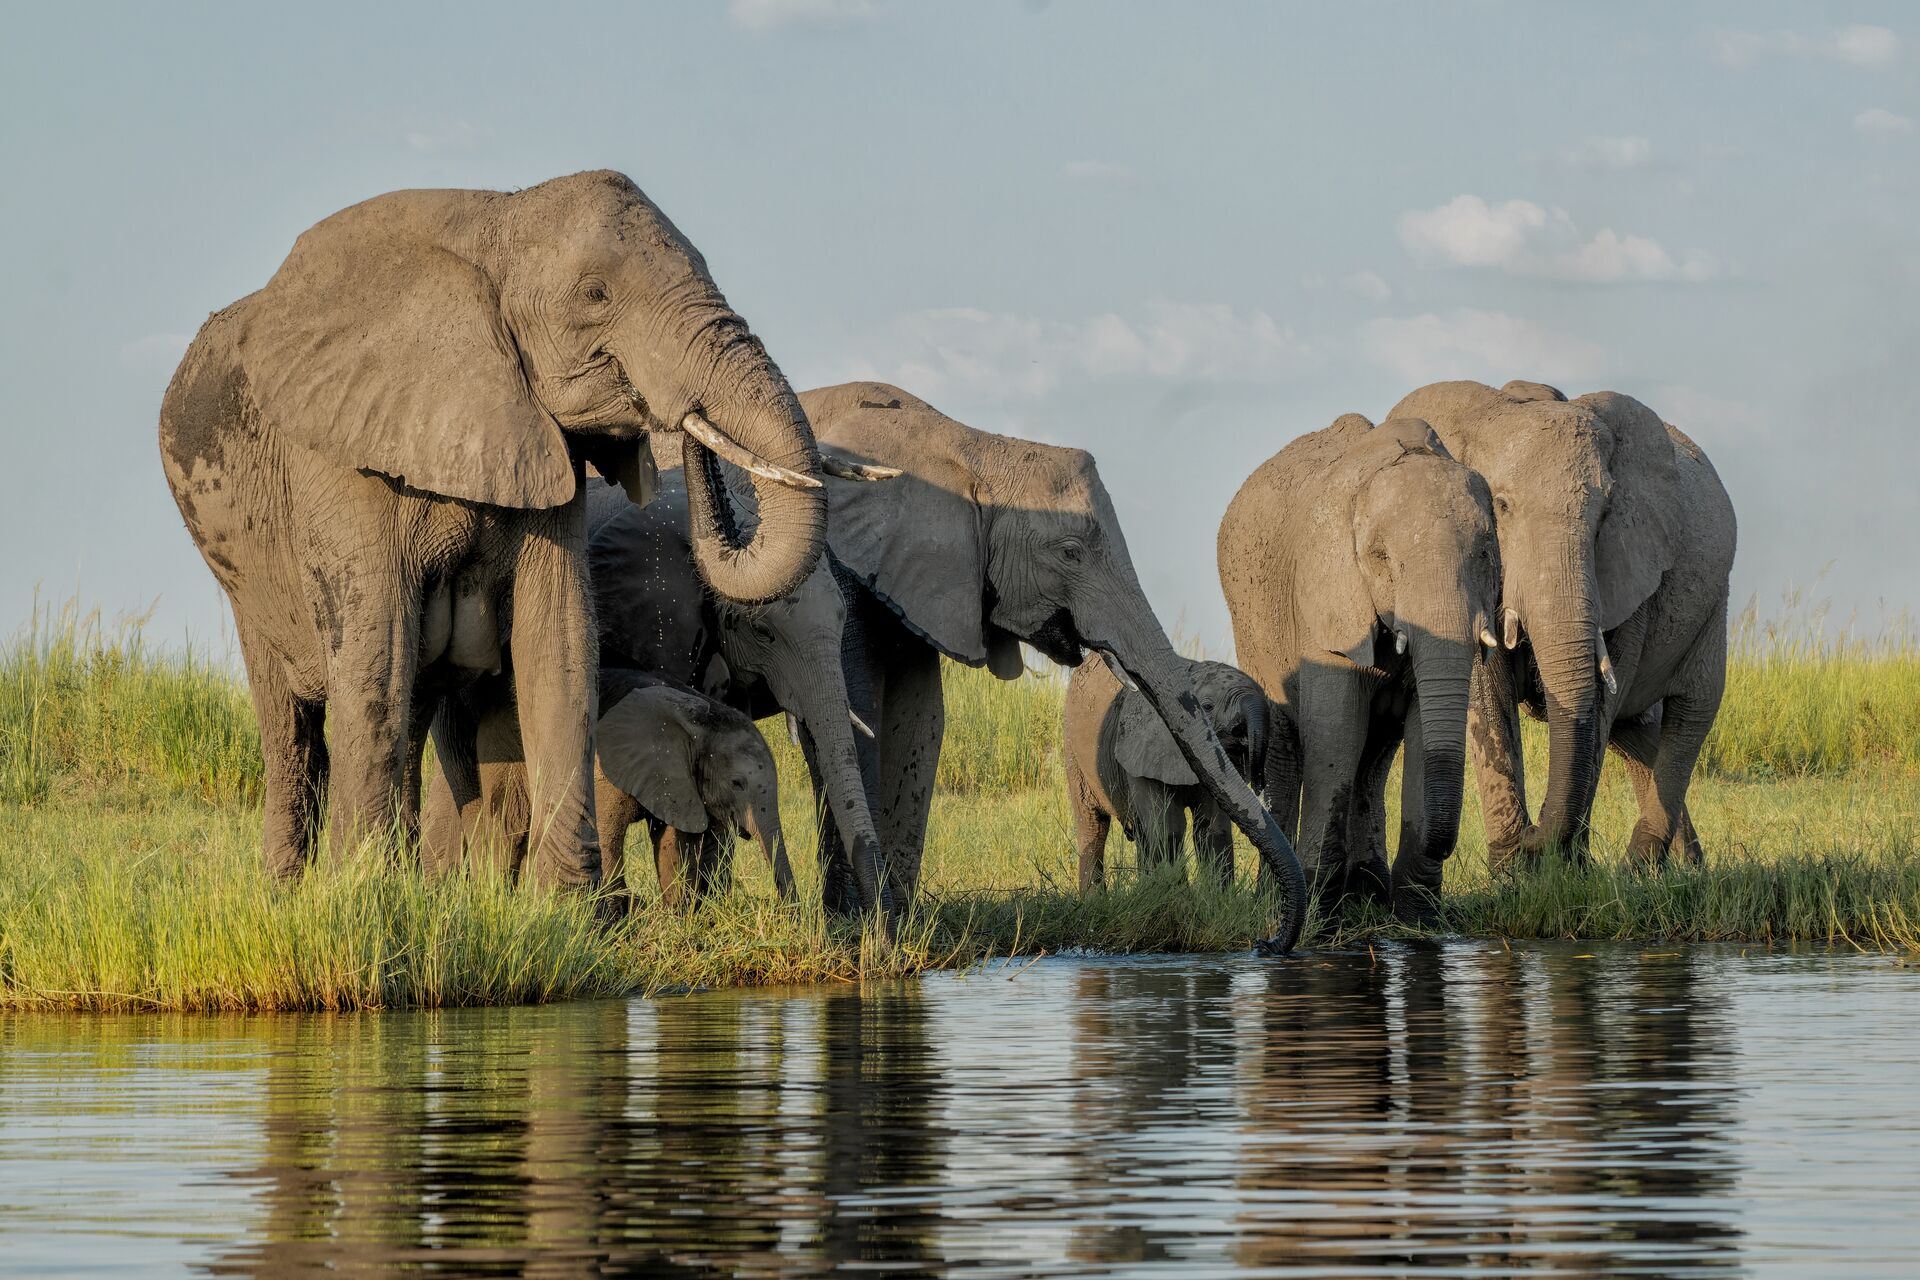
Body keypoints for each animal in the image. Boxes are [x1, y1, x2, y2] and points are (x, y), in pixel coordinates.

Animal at [160, 171, 830, 885]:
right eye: (595, 294)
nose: (680, 417)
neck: (496, 220)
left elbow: (557, 642)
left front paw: (569, 905)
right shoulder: (344, 458)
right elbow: (374, 654)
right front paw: (359, 894)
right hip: (245, 577)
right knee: (293, 725)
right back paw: (293, 890)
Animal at [594, 669, 796, 910]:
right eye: (736, 783)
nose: (786, 909)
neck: (700, 720)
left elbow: (672, 842)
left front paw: (676, 913)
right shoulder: (610, 770)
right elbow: (607, 831)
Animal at [1062, 654, 1272, 892]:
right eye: (1207, 706)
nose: (1259, 785)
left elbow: (1213, 828)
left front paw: (1218, 897)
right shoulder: (1141, 751)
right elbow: (1169, 827)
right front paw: (1178, 895)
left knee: (1141, 833)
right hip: (1073, 752)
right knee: (1093, 826)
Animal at [1218, 414, 1501, 919]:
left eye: (1487, 553)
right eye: (1383, 559)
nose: (1443, 846)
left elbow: (1421, 729)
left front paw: (1417, 916)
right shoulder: (1326, 593)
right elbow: (1336, 731)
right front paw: (1319, 914)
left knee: (1376, 753)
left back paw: (1366, 893)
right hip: (1251, 624)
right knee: (1288, 744)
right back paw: (1280, 897)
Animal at [1386, 381, 1736, 867]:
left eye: (1605, 515)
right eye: (1501, 506)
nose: (1535, 831)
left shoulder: (1629, 570)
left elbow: (1600, 698)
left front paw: (1566, 867)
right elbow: (1487, 694)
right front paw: (1514, 869)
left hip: (1713, 608)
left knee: (1689, 716)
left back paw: (1643, 869)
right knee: (1637, 734)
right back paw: (1677, 868)